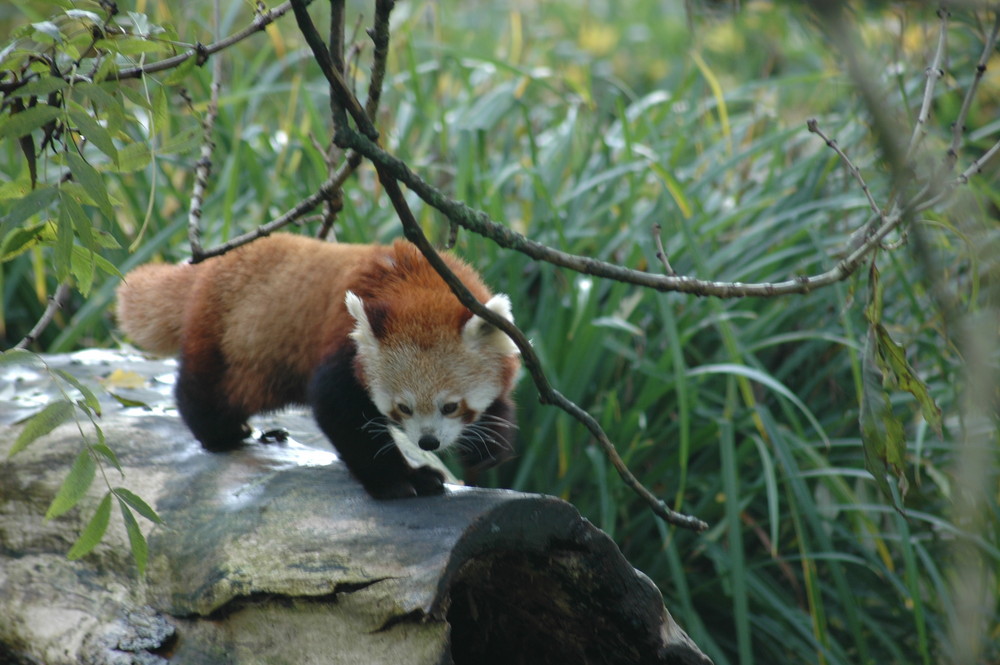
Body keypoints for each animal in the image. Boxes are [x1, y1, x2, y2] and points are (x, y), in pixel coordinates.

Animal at [115, 233, 524, 498]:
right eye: (403, 408)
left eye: (452, 406)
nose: (428, 441)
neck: (415, 276)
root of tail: (211, 264)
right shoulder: (342, 344)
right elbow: (340, 412)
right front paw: (402, 481)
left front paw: (486, 445)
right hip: (230, 338)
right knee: (207, 388)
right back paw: (221, 432)